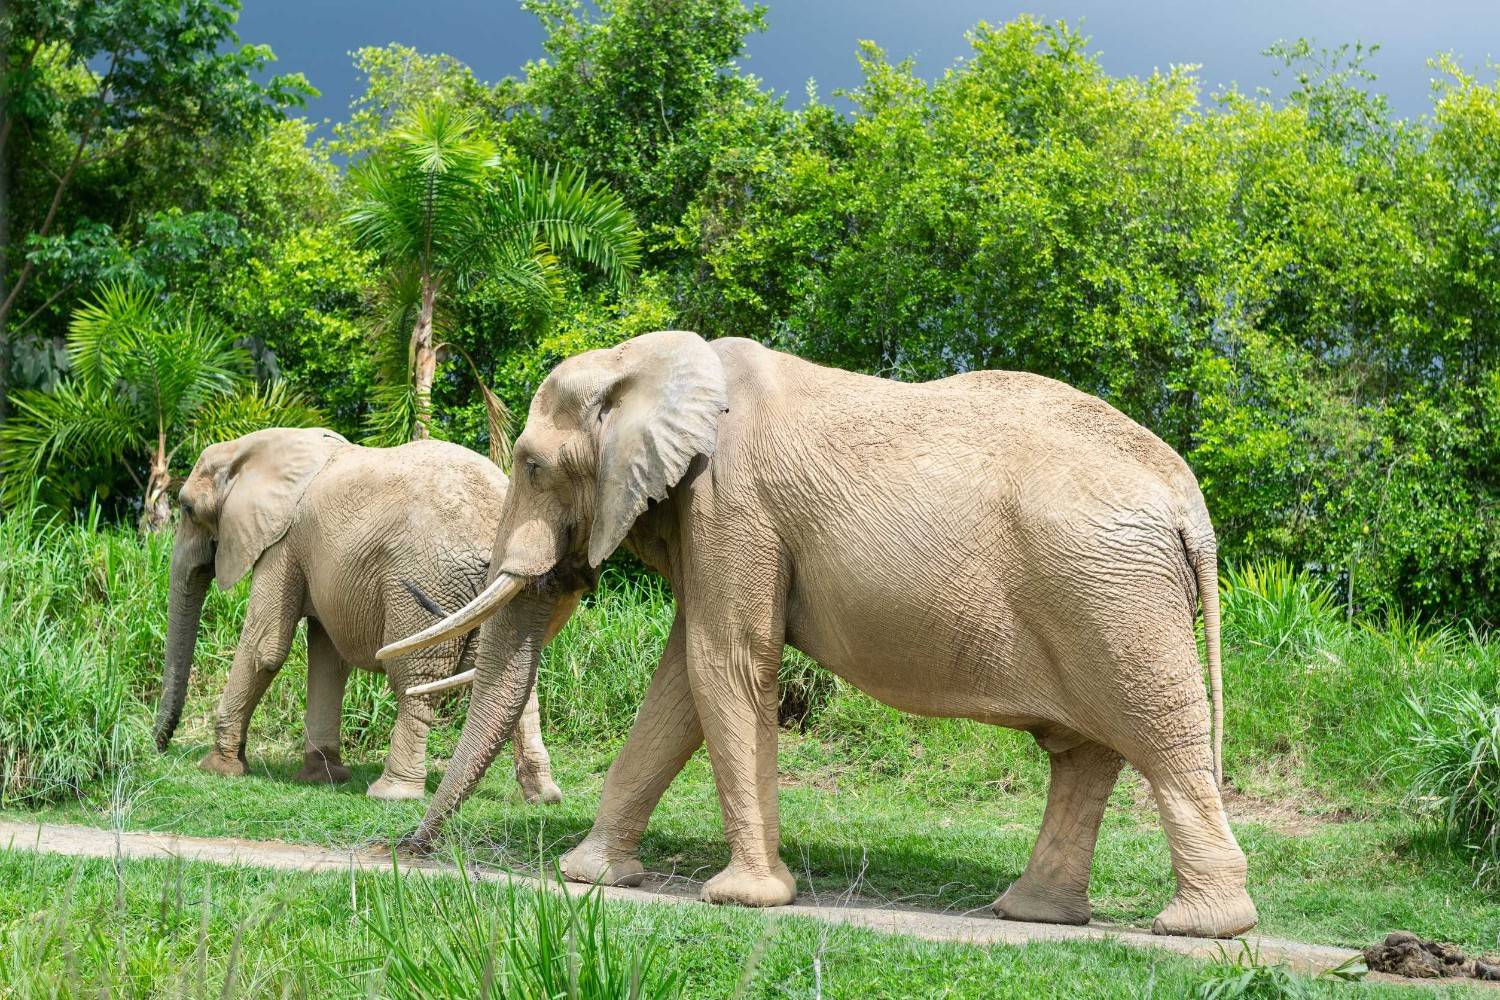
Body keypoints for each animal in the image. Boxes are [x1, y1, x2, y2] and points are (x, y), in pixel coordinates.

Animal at [154, 427, 569, 803]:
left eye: (187, 509)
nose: (158, 747)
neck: (254, 447)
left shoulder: (282, 543)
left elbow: (265, 648)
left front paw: (218, 768)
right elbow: (328, 658)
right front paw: (321, 776)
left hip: (428, 581)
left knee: (415, 678)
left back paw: (392, 794)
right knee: (510, 679)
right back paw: (542, 796)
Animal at [376, 331, 1256, 939]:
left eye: (529, 465)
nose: (407, 851)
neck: (651, 361)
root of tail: (1191, 504)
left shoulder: (732, 504)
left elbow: (724, 665)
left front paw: (740, 900)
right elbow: (682, 681)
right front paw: (588, 876)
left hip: (1114, 600)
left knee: (1156, 743)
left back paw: (1202, 928)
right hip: (1106, 598)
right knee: (1084, 754)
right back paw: (1031, 913)